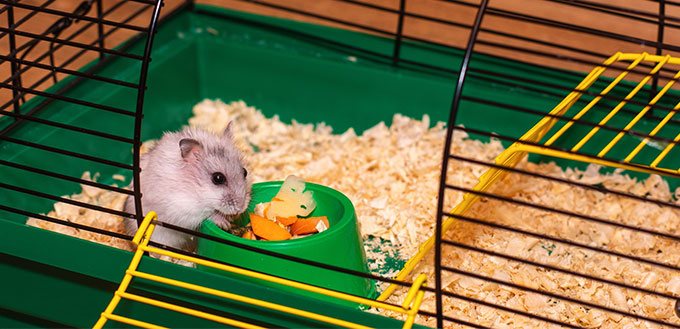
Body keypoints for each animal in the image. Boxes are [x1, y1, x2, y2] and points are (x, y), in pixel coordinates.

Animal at [123, 122, 251, 251]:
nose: (240, 209)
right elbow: (207, 215)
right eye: (218, 178)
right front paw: (224, 222)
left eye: (245, 172)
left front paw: (232, 218)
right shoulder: (182, 208)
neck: (194, 188)